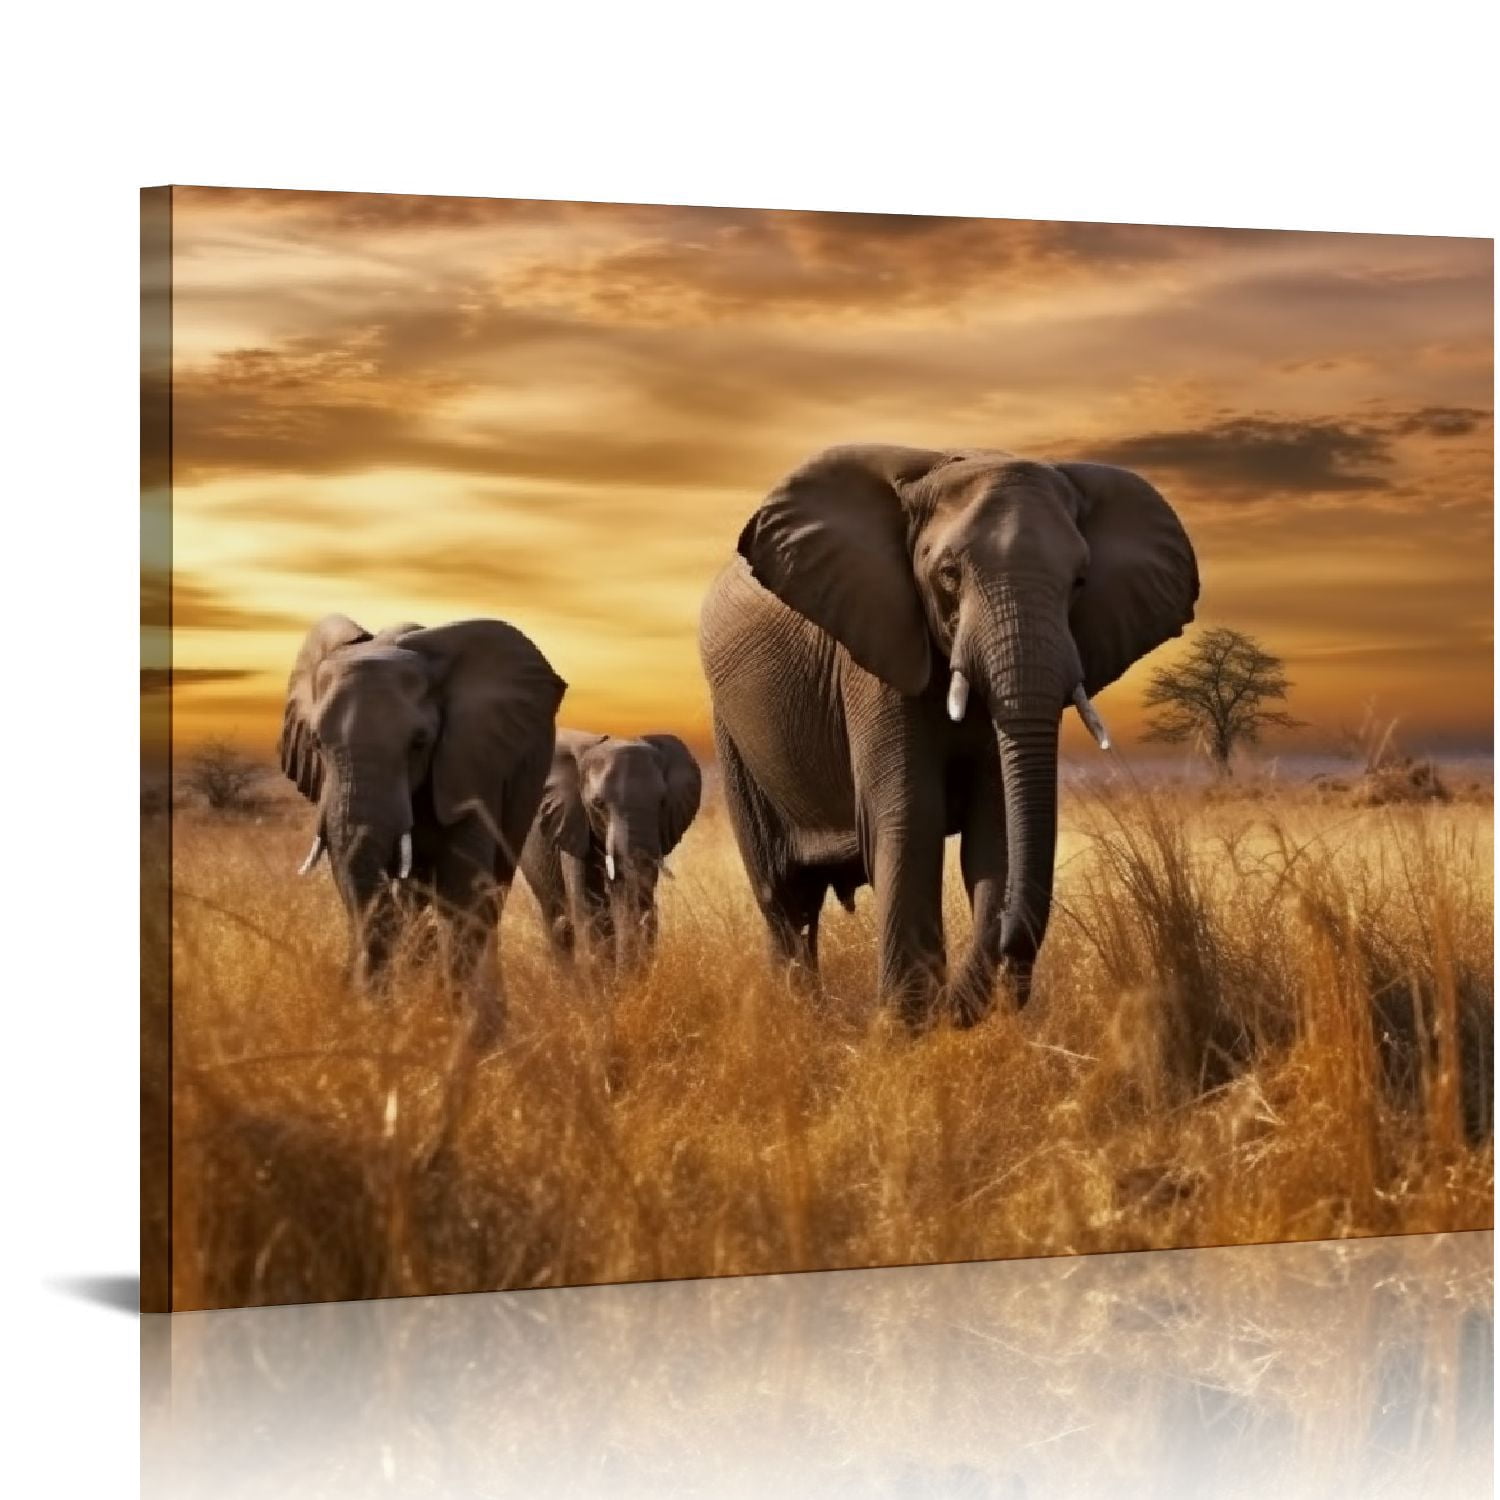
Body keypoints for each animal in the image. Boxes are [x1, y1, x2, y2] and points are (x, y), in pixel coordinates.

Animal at [278, 614, 567, 1044]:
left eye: (419, 743)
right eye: (315, 741)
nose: (371, 1011)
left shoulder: (470, 759)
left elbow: (463, 889)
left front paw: (462, 1030)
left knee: (492, 893)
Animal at [698, 444, 1198, 1025]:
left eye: (1079, 582)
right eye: (949, 574)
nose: (1010, 957)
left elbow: (996, 830)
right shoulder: (873, 656)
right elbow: (912, 815)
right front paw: (908, 1024)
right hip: (733, 731)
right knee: (784, 896)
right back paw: (800, 1022)